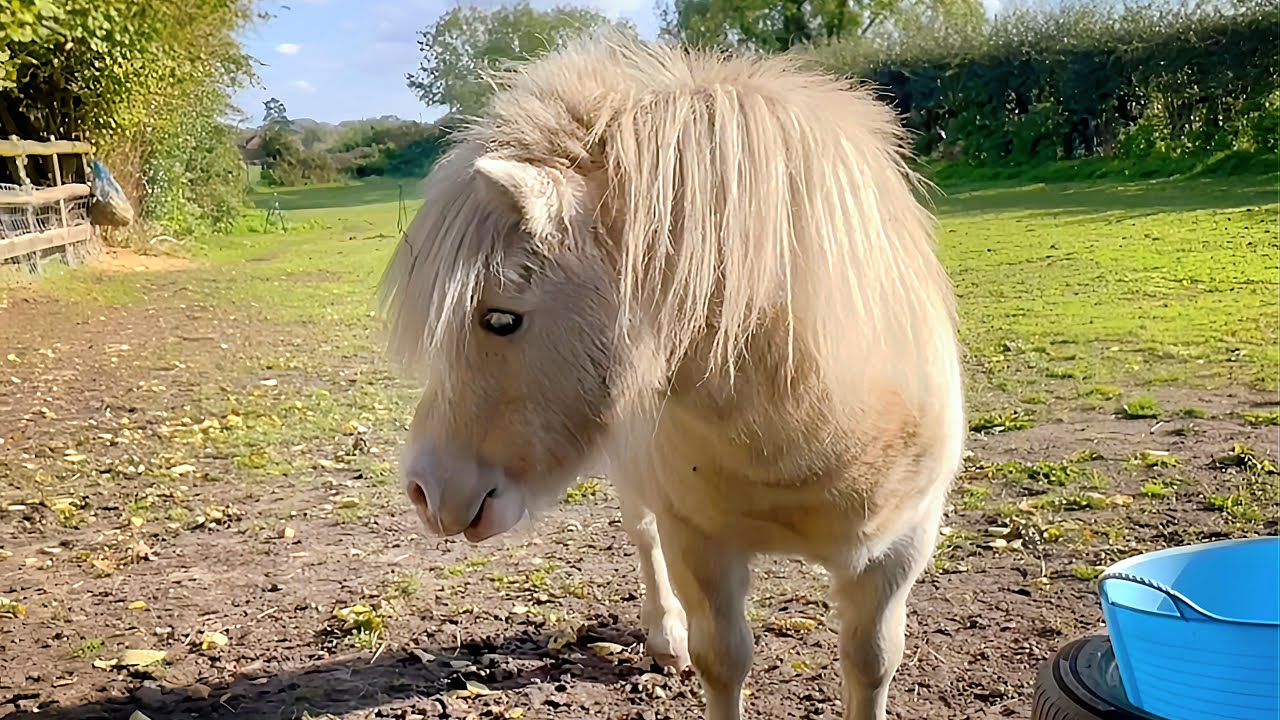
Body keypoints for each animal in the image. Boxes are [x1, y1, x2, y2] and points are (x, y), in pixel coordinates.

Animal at [376, 34, 966, 720]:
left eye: (500, 318)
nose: (423, 491)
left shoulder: (898, 552)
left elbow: (870, 664)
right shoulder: (701, 546)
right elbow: (723, 659)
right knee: (643, 535)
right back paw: (665, 638)